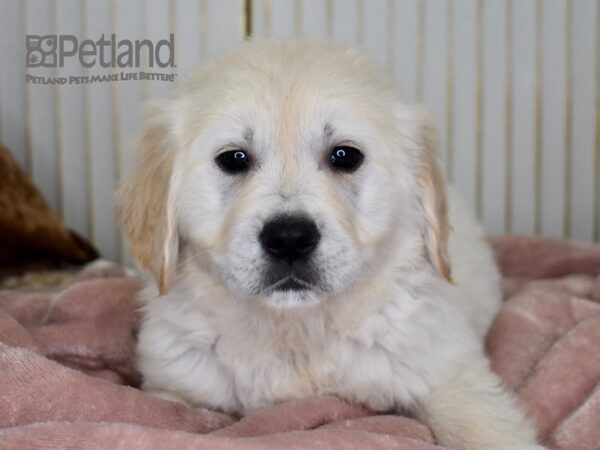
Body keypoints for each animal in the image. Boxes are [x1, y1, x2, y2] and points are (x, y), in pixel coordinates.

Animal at [116, 42, 544, 450]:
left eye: (345, 156)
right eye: (233, 159)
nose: (289, 238)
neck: (296, 331)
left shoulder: (446, 369)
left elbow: (482, 428)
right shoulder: (173, 385)